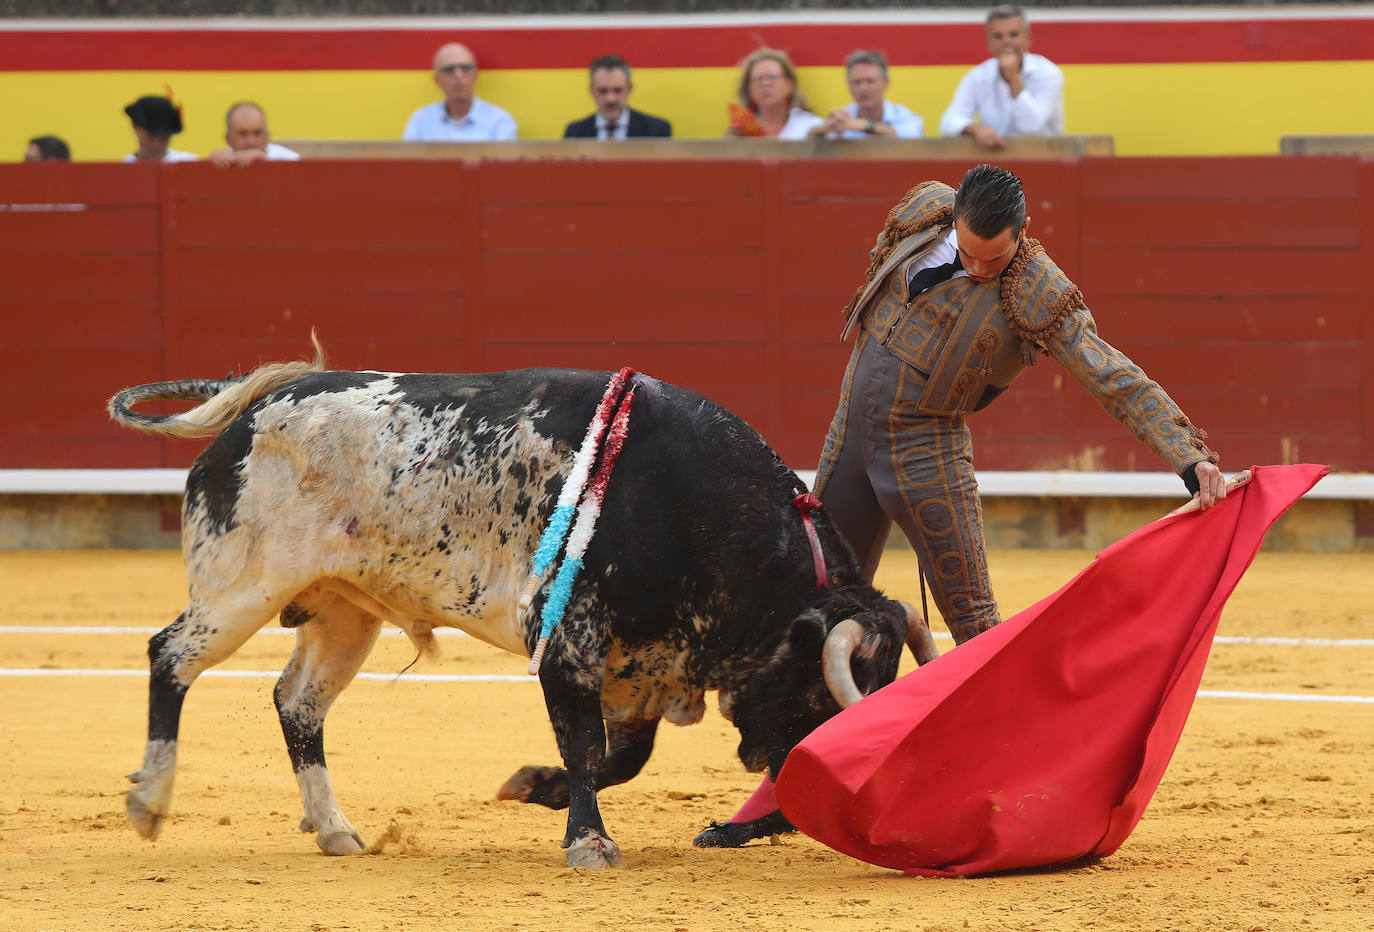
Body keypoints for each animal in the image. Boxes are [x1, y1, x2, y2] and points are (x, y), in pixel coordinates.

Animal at [112, 346, 939, 874]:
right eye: (820, 693)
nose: (794, 804)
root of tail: (258, 408)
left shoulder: (643, 664)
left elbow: (619, 758)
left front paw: (533, 790)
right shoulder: (568, 640)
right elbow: (584, 745)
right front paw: (589, 844)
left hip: (346, 611)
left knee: (299, 703)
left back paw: (336, 830)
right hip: (243, 585)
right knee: (170, 655)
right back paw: (149, 802)